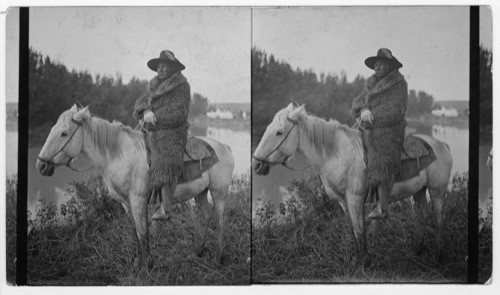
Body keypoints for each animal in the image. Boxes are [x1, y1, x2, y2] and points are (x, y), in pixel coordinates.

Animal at [37, 106, 236, 270]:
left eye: (64, 133)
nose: (41, 166)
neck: (121, 155)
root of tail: (224, 147)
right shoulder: (126, 203)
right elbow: (135, 231)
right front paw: (137, 263)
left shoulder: (138, 200)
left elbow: (143, 231)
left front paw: (147, 266)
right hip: (201, 192)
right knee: (204, 217)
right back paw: (197, 252)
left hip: (219, 193)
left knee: (220, 221)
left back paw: (218, 258)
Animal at [254, 104, 454, 276]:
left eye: (279, 132)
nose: (256, 164)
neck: (336, 154)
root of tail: (442, 145)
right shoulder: (343, 202)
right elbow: (353, 229)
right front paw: (355, 262)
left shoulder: (355, 199)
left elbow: (360, 229)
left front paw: (363, 265)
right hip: (419, 191)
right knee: (422, 215)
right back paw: (415, 251)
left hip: (437, 191)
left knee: (438, 219)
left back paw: (435, 257)